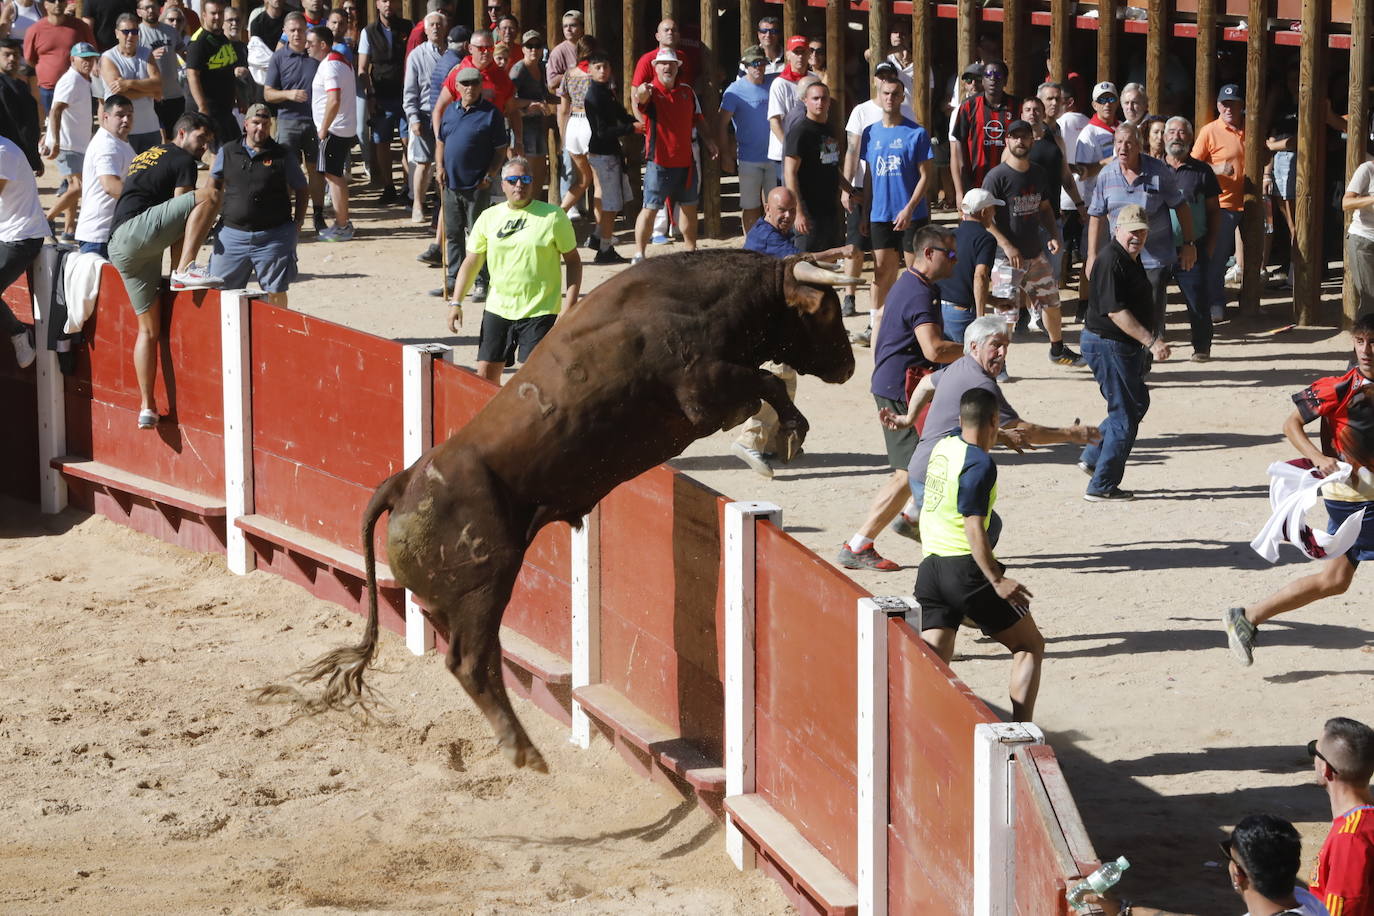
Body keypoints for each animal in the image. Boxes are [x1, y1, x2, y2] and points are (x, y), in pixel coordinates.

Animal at [261, 247, 851, 769]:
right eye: (827, 311)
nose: (848, 367)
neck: (707, 298)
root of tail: (403, 481)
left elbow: (768, 381)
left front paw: (789, 431)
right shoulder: (703, 392)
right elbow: (766, 380)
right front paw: (790, 429)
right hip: (486, 583)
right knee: (471, 663)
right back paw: (523, 750)